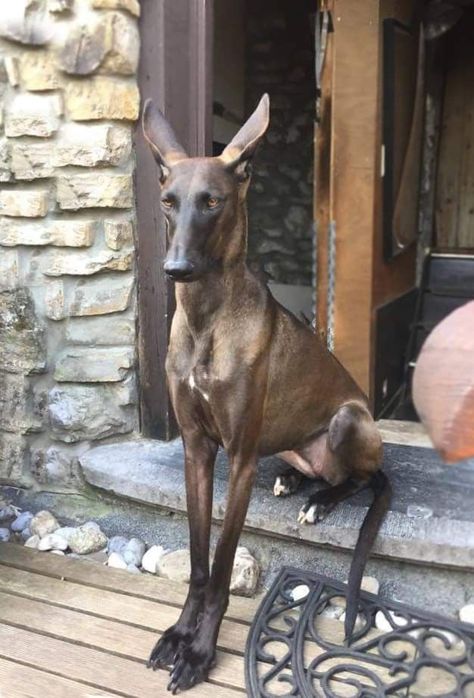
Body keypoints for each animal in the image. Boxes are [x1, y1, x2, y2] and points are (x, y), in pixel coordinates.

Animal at [143, 92, 390, 692]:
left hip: (350, 420)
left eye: (213, 201)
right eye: (168, 201)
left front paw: (199, 652)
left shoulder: (240, 458)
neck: (206, 318)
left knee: (358, 477)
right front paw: (178, 635)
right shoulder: (197, 450)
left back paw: (320, 501)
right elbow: (199, 560)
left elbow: (222, 566)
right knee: (318, 468)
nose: (175, 269)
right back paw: (294, 479)